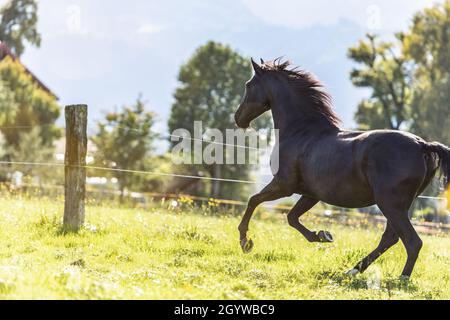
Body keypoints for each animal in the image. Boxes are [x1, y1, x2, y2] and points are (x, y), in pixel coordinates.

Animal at [234, 57, 448, 278]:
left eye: (248, 85)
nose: (238, 118)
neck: (301, 132)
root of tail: (421, 145)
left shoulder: (284, 185)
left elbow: (253, 201)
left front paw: (246, 243)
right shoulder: (310, 194)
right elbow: (292, 217)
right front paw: (322, 235)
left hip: (390, 204)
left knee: (412, 242)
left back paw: (401, 279)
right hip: (400, 205)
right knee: (391, 238)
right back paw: (353, 270)